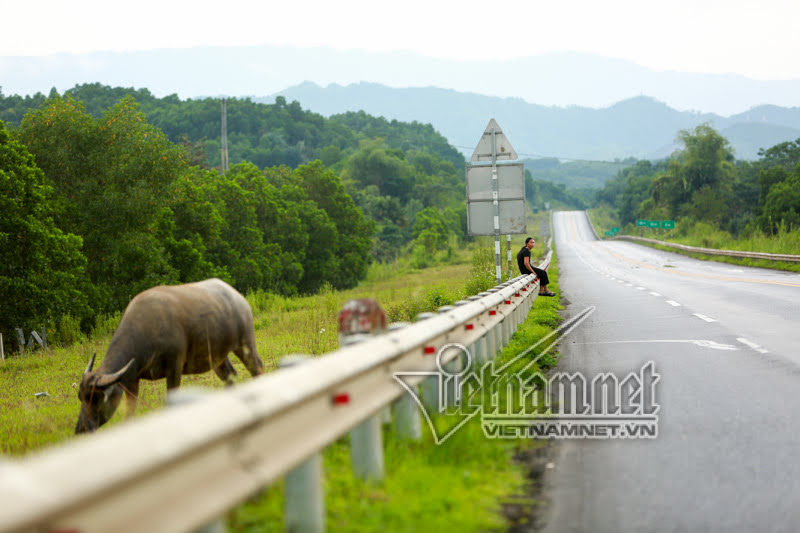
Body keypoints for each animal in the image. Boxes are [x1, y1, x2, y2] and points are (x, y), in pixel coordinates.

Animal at [75, 278, 264, 432]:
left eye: (95, 397)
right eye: (80, 396)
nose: (81, 429)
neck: (147, 331)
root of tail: (238, 297)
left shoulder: (174, 368)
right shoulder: (132, 381)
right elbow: (129, 413)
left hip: (245, 344)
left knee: (257, 368)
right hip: (218, 358)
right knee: (231, 376)